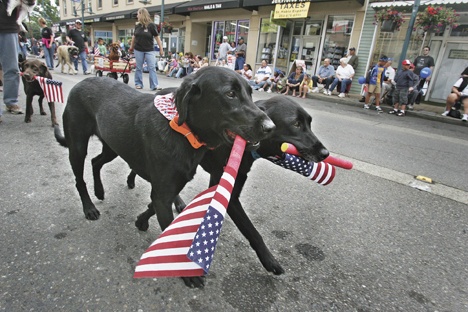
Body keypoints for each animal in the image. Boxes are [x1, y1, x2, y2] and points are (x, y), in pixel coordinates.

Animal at [54, 67, 274, 288]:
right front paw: (187, 273)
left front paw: (141, 221)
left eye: (250, 93)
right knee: (80, 179)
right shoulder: (163, 193)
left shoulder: (166, 190)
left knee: (95, 162)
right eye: (230, 94)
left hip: (112, 146)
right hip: (78, 146)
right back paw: (89, 207)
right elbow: (172, 237)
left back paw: (99, 191)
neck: (183, 131)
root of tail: (81, 82)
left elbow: (153, 206)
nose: (270, 127)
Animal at [126, 95, 328, 276]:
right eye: (296, 124)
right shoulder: (227, 193)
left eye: (309, 123)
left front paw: (145, 216)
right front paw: (269, 260)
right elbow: (253, 231)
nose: (325, 153)